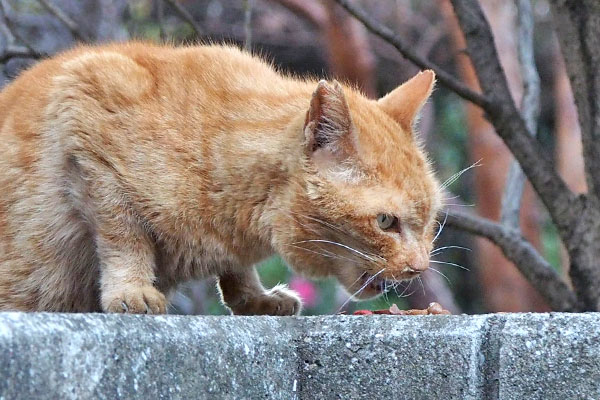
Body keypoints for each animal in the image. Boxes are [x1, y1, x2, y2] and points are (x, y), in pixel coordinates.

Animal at [0, 42, 440, 314]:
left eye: (431, 221)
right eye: (385, 221)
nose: (419, 268)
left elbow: (236, 270)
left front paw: (255, 299)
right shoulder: (83, 105)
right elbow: (123, 236)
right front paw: (131, 290)